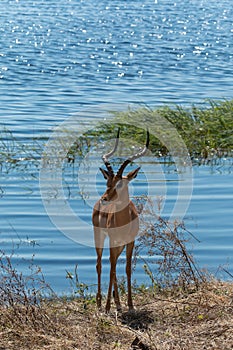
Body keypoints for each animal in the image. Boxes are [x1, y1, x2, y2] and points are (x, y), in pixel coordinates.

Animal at [91, 129, 149, 312]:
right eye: (108, 181)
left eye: (120, 184)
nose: (104, 198)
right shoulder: (112, 240)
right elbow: (111, 269)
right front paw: (107, 306)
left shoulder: (130, 242)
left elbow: (127, 268)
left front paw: (130, 304)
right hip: (100, 237)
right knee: (101, 264)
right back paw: (101, 302)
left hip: (119, 244)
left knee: (114, 264)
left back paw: (117, 302)